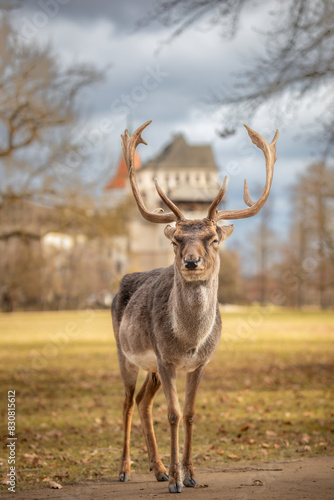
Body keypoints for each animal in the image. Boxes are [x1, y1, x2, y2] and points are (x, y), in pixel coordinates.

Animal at [111, 120, 278, 492]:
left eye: (213, 239)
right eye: (176, 240)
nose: (190, 261)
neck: (189, 341)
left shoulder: (200, 363)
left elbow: (188, 413)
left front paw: (189, 475)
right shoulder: (166, 358)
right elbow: (172, 414)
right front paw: (176, 480)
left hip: (151, 368)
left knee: (143, 402)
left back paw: (157, 468)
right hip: (125, 353)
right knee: (128, 403)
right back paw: (126, 469)